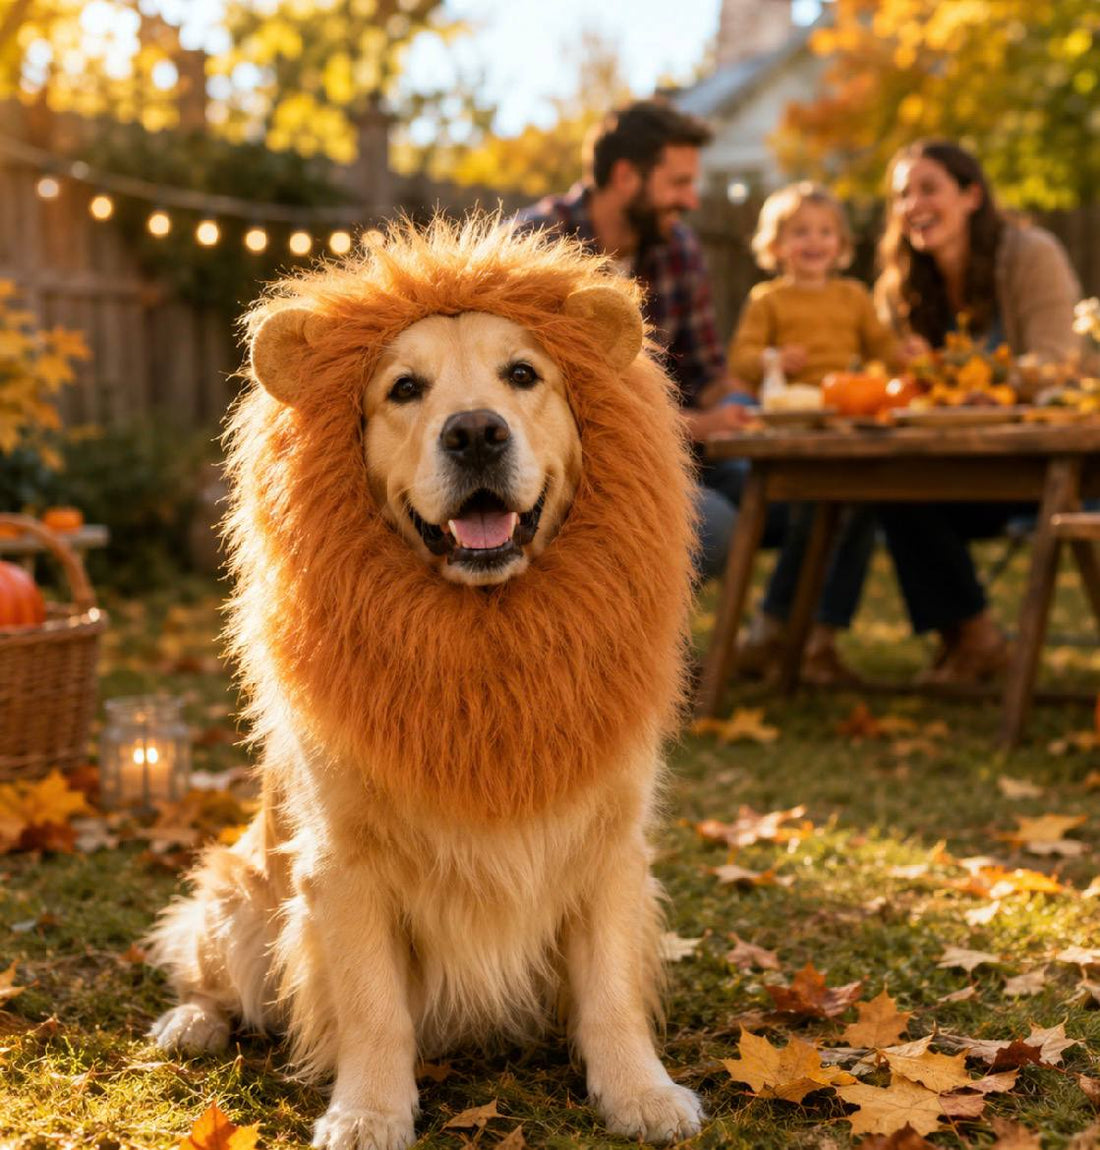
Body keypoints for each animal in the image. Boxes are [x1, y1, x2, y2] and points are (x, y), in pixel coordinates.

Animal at [145, 216, 701, 1149]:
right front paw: (368, 1110)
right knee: (210, 974)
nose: (475, 432)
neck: (481, 640)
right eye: (404, 388)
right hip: (237, 894)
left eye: (524, 375)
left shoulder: (610, 842)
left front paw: (640, 1092)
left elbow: (612, 994)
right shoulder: (343, 864)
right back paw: (190, 1021)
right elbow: (374, 1010)